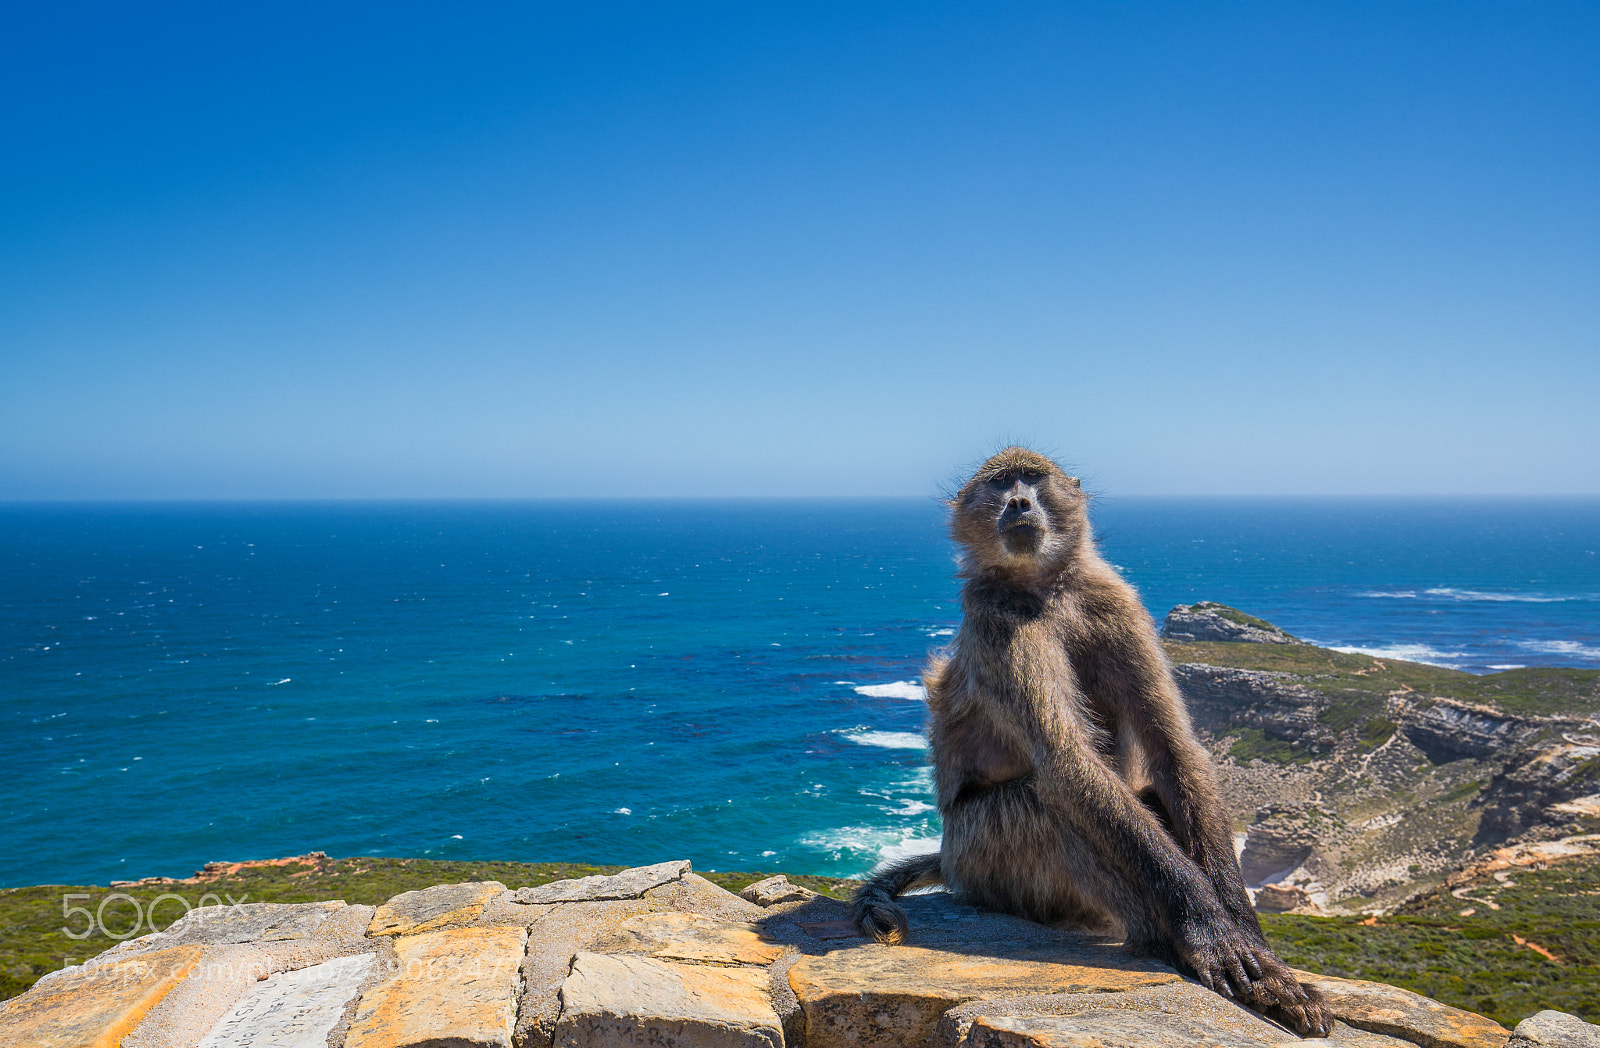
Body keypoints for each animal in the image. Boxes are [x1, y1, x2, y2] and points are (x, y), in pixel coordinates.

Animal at [852, 447, 1332, 1037]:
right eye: (999, 484)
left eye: (1032, 479)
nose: (1018, 503)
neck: (1046, 585)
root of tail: (948, 857)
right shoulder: (995, 622)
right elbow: (1069, 762)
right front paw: (1213, 935)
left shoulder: (1116, 605)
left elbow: (1173, 749)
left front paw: (1249, 935)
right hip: (980, 854)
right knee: (1051, 804)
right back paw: (1168, 943)